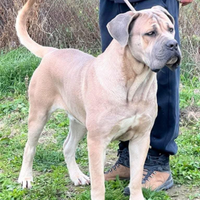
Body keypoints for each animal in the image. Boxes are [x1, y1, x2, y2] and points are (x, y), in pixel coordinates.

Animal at [16, 0, 181, 199]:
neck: (134, 85)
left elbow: (135, 178)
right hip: (39, 115)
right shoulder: (97, 141)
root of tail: (51, 52)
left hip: (79, 121)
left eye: (171, 29)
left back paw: (77, 176)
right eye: (150, 33)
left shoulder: (141, 138)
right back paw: (26, 178)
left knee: (68, 146)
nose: (173, 44)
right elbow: (98, 183)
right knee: (29, 147)